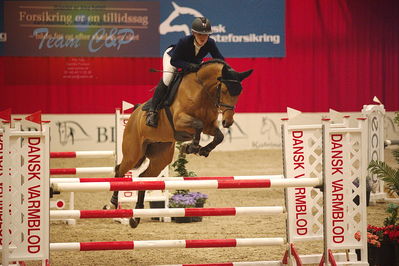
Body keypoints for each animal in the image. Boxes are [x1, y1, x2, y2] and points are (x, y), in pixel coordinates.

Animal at [111, 59, 253, 228]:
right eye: (224, 90)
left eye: (239, 92)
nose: (228, 122)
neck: (203, 91)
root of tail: (133, 114)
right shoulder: (180, 121)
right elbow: (198, 125)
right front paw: (191, 146)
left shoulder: (209, 126)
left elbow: (218, 136)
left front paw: (201, 149)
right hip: (134, 153)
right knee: (120, 170)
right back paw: (113, 202)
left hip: (161, 157)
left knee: (144, 178)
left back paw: (136, 217)